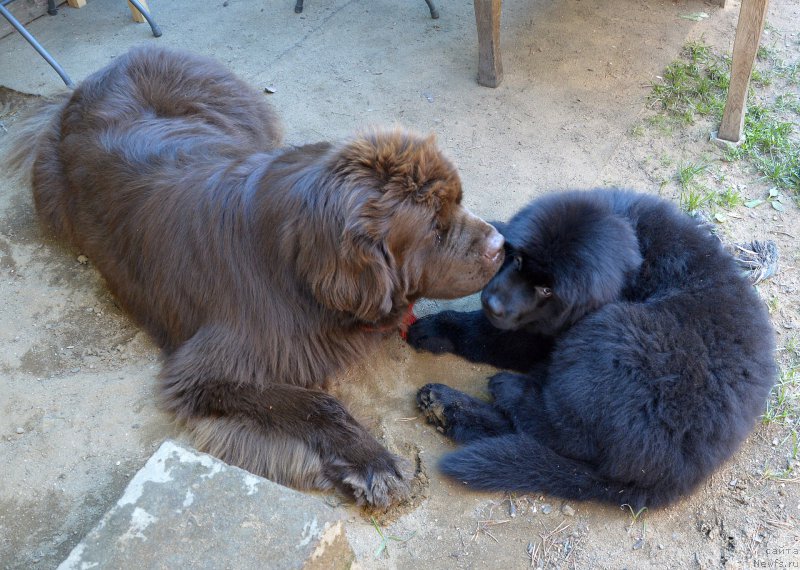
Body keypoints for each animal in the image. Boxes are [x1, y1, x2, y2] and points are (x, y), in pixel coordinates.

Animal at [9, 46, 504, 504]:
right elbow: (316, 404)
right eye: (435, 229)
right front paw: (373, 462)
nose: (501, 245)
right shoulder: (206, 372)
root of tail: (99, 74)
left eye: (459, 203)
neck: (298, 273)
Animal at [406, 187, 776, 506]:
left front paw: (436, 327)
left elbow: (487, 335)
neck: (638, 255)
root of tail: (676, 479)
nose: (492, 304)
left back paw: (495, 393)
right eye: (520, 260)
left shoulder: (545, 333)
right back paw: (448, 408)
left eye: (547, 290)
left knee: (562, 433)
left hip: (613, 331)